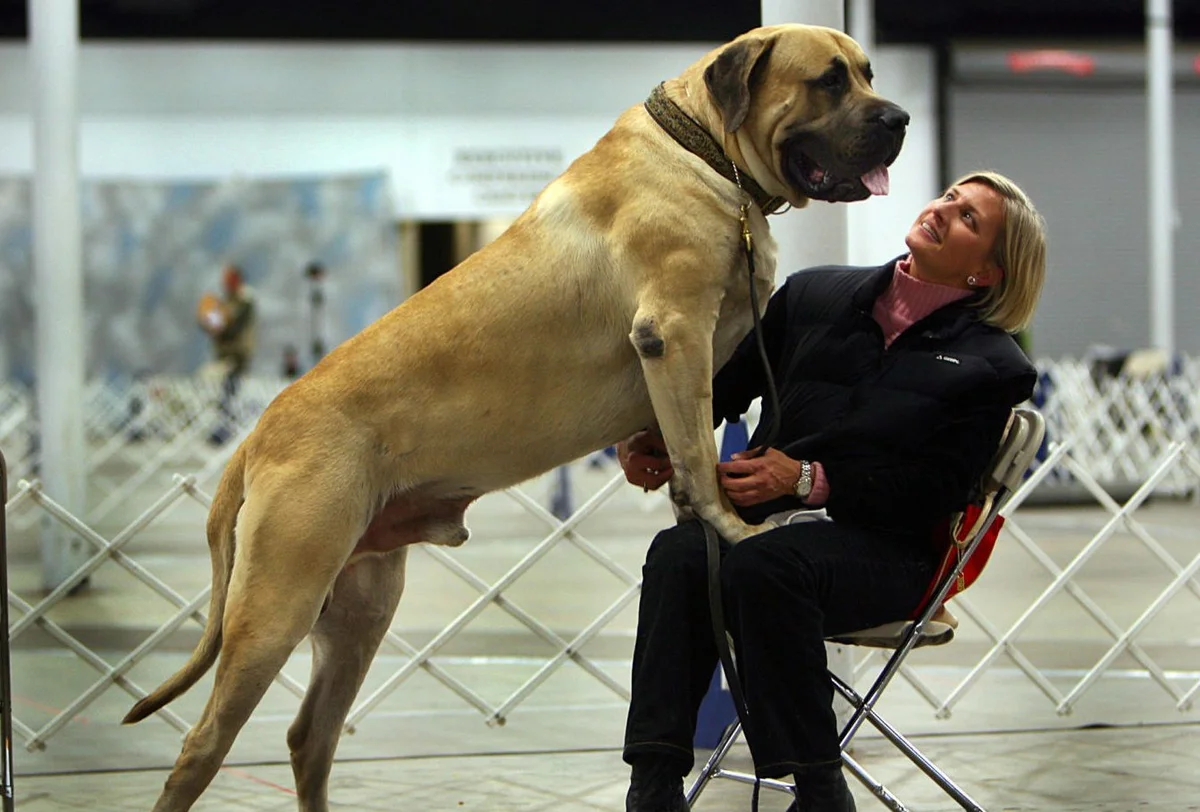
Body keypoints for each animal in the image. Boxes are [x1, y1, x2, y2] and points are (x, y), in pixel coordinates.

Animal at [126, 22, 902, 806]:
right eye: (830, 80)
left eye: (868, 73)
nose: (898, 119)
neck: (706, 152)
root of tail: (255, 437)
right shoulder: (676, 334)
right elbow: (696, 451)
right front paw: (730, 527)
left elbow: (680, 451)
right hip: (276, 604)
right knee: (202, 745)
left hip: (359, 609)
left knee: (309, 738)